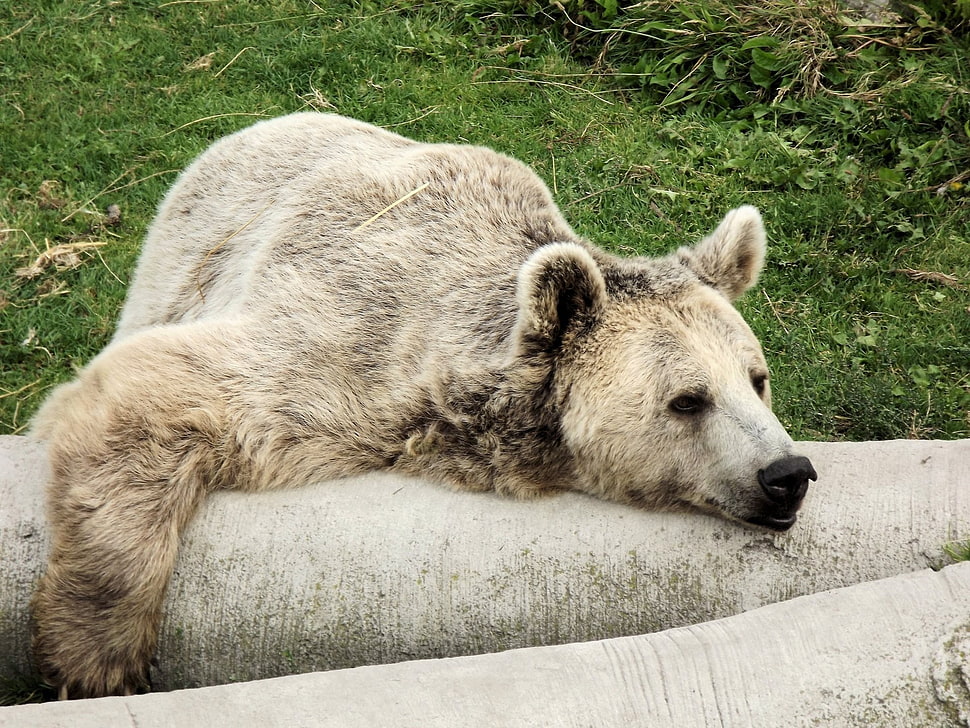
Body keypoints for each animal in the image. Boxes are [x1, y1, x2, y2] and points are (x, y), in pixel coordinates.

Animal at [29, 113, 816, 699]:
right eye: (688, 400)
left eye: (757, 378)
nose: (788, 474)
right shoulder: (351, 345)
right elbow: (163, 392)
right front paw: (95, 659)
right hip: (186, 257)